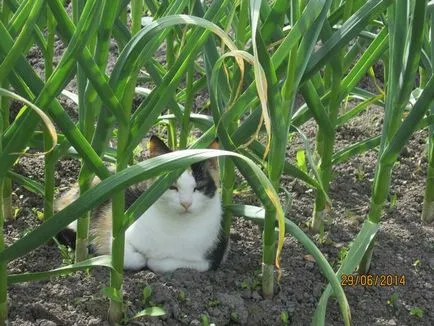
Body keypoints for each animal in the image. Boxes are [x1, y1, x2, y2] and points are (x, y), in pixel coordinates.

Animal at [56, 136, 229, 274]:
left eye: (198, 187)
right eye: (172, 187)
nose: (186, 203)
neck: (176, 225)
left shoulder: (213, 257)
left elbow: (163, 263)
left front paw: (153, 261)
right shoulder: (118, 231)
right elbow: (130, 258)